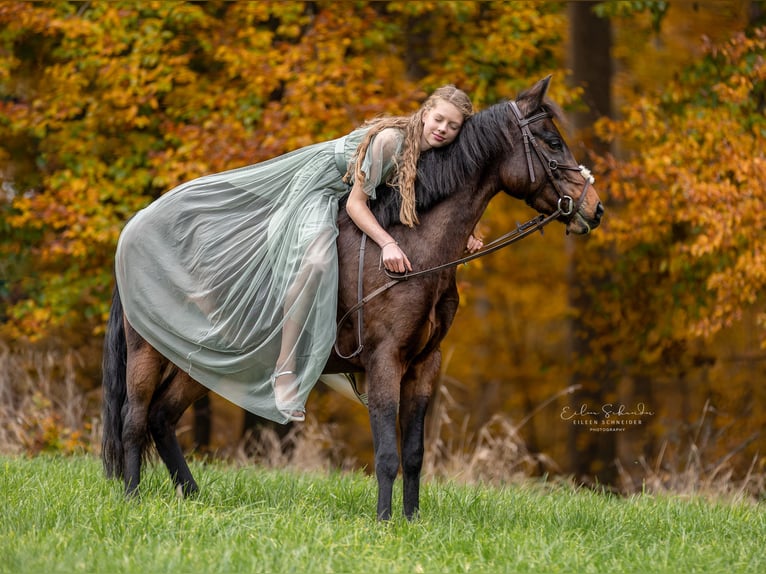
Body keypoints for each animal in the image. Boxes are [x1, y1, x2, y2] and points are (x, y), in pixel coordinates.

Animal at [101, 76, 603, 520]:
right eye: (552, 143)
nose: (594, 208)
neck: (411, 248)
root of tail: (134, 229)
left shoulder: (425, 364)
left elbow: (414, 453)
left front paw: (411, 521)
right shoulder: (385, 360)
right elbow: (386, 454)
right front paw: (383, 522)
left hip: (204, 359)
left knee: (161, 418)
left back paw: (192, 497)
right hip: (148, 350)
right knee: (134, 418)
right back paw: (132, 500)